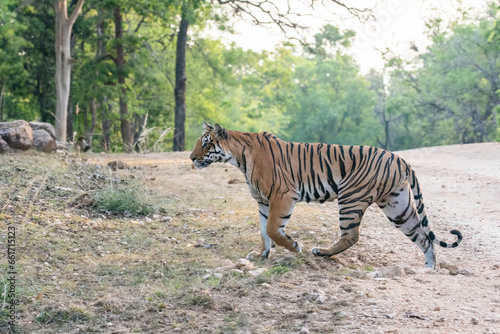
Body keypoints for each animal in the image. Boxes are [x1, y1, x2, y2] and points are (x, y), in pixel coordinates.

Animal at [189, 122, 462, 268]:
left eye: (206, 143)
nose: (191, 158)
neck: (239, 158)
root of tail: (399, 158)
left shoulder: (283, 195)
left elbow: (273, 229)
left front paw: (294, 246)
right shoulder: (262, 201)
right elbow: (263, 231)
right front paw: (262, 255)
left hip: (351, 198)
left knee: (351, 235)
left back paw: (321, 252)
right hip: (398, 206)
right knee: (423, 237)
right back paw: (429, 269)